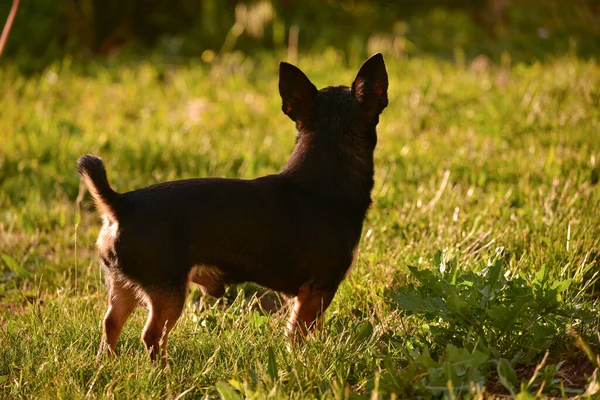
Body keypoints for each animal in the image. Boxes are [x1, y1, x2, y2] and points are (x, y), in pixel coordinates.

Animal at [78, 52, 390, 360]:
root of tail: (121, 204)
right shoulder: (318, 289)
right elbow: (299, 333)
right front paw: (301, 360)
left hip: (122, 286)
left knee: (110, 324)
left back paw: (107, 365)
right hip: (169, 291)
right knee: (152, 336)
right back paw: (162, 370)